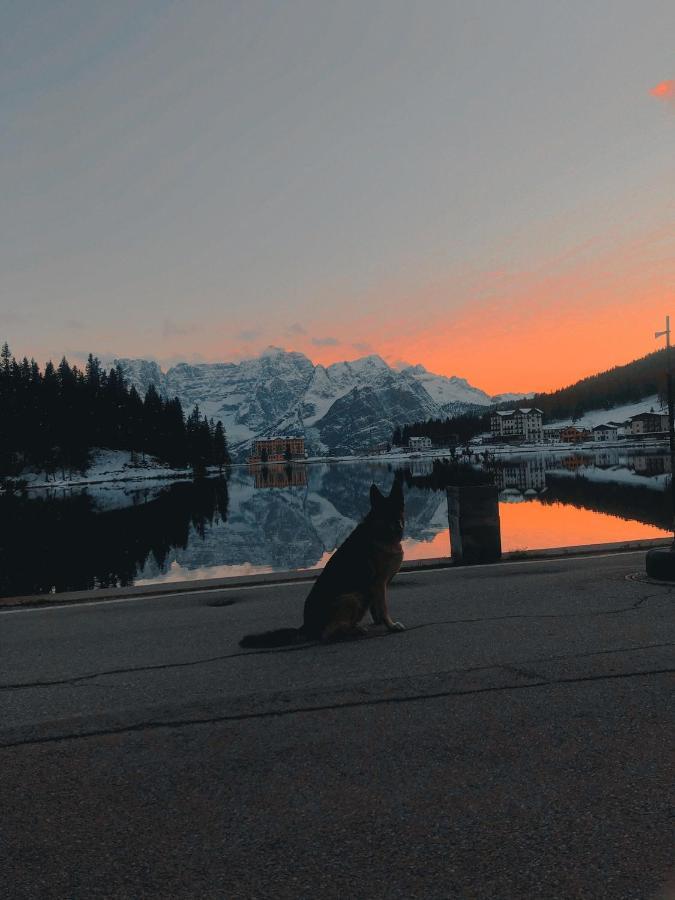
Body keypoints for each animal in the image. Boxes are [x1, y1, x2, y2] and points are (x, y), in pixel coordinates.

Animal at [240, 472, 404, 648]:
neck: (381, 532)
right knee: (327, 634)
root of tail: (306, 626)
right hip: (352, 597)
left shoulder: (376, 587)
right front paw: (391, 626)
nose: (399, 526)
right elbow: (384, 608)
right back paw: (353, 630)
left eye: (399, 510)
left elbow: (376, 608)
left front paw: (380, 622)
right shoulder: (379, 583)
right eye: (386, 513)